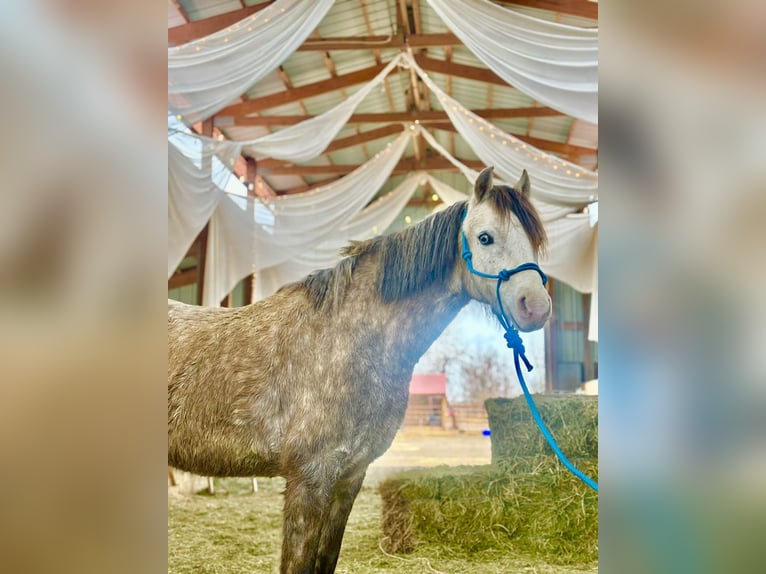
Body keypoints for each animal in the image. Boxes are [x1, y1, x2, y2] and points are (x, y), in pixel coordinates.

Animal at [167, 166, 551, 574]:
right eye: (485, 238)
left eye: (535, 240)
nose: (536, 307)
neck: (347, 340)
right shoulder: (309, 479)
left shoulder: (349, 477)